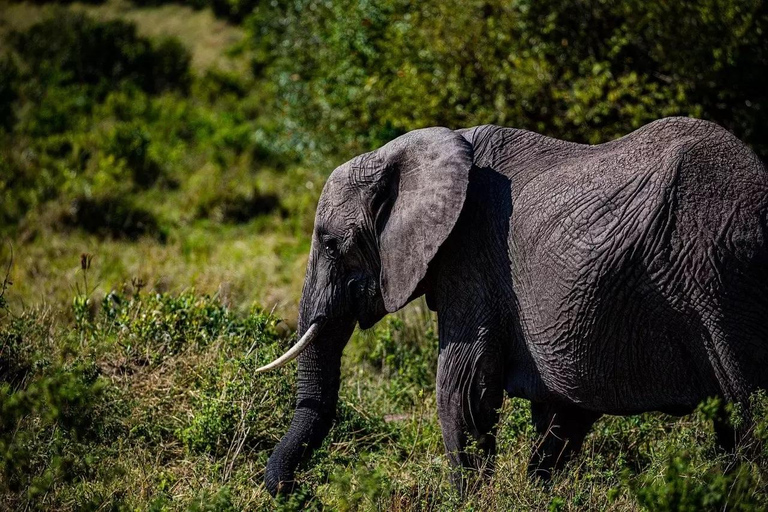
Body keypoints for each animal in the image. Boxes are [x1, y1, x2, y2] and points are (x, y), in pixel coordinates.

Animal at [258, 117, 768, 496]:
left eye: (329, 244)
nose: (296, 491)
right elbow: (560, 413)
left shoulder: (472, 257)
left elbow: (460, 388)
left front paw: (467, 500)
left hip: (719, 276)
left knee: (751, 415)